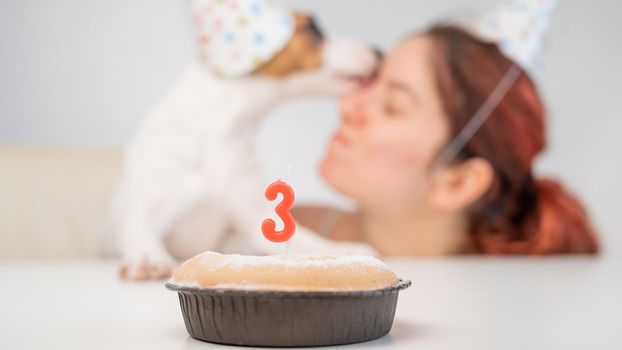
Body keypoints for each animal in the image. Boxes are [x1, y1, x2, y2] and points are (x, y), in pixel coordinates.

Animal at [115, 0, 380, 278]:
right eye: (313, 28)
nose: (379, 50)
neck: (221, 132)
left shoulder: (254, 216)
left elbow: (306, 240)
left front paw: (343, 249)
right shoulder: (148, 205)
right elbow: (138, 228)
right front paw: (146, 257)